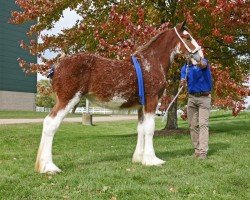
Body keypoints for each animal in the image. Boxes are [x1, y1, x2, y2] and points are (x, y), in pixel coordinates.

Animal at [36, 22, 205, 173]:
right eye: (188, 37)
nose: (201, 56)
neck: (150, 63)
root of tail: (58, 65)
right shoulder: (151, 101)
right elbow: (150, 129)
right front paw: (152, 160)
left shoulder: (141, 106)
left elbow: (141, 128)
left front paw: (139, 158)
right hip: (68, 100)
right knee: (51, 124)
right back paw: (49, 167)